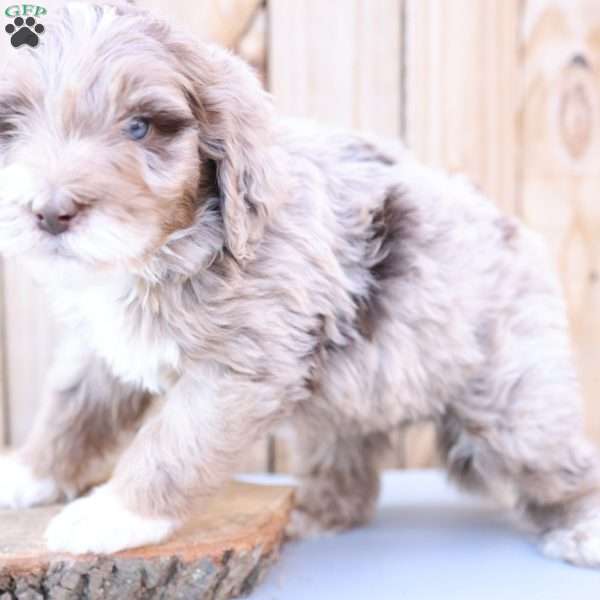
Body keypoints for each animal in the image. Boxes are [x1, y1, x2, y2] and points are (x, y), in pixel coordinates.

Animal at [1, 0, 600, 564]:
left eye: (139, 127)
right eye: (13, 126)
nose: (49, 212)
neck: (170, 250)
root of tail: (522, 235)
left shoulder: (240, 369)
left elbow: (172, 443)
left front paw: (114, 515)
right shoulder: (97, 346)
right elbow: (71, 408)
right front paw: (29, 472)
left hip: (514, 405)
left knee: (562, 463)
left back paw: (581, 527)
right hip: (349, 399)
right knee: (353, 475)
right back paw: (312, 512)